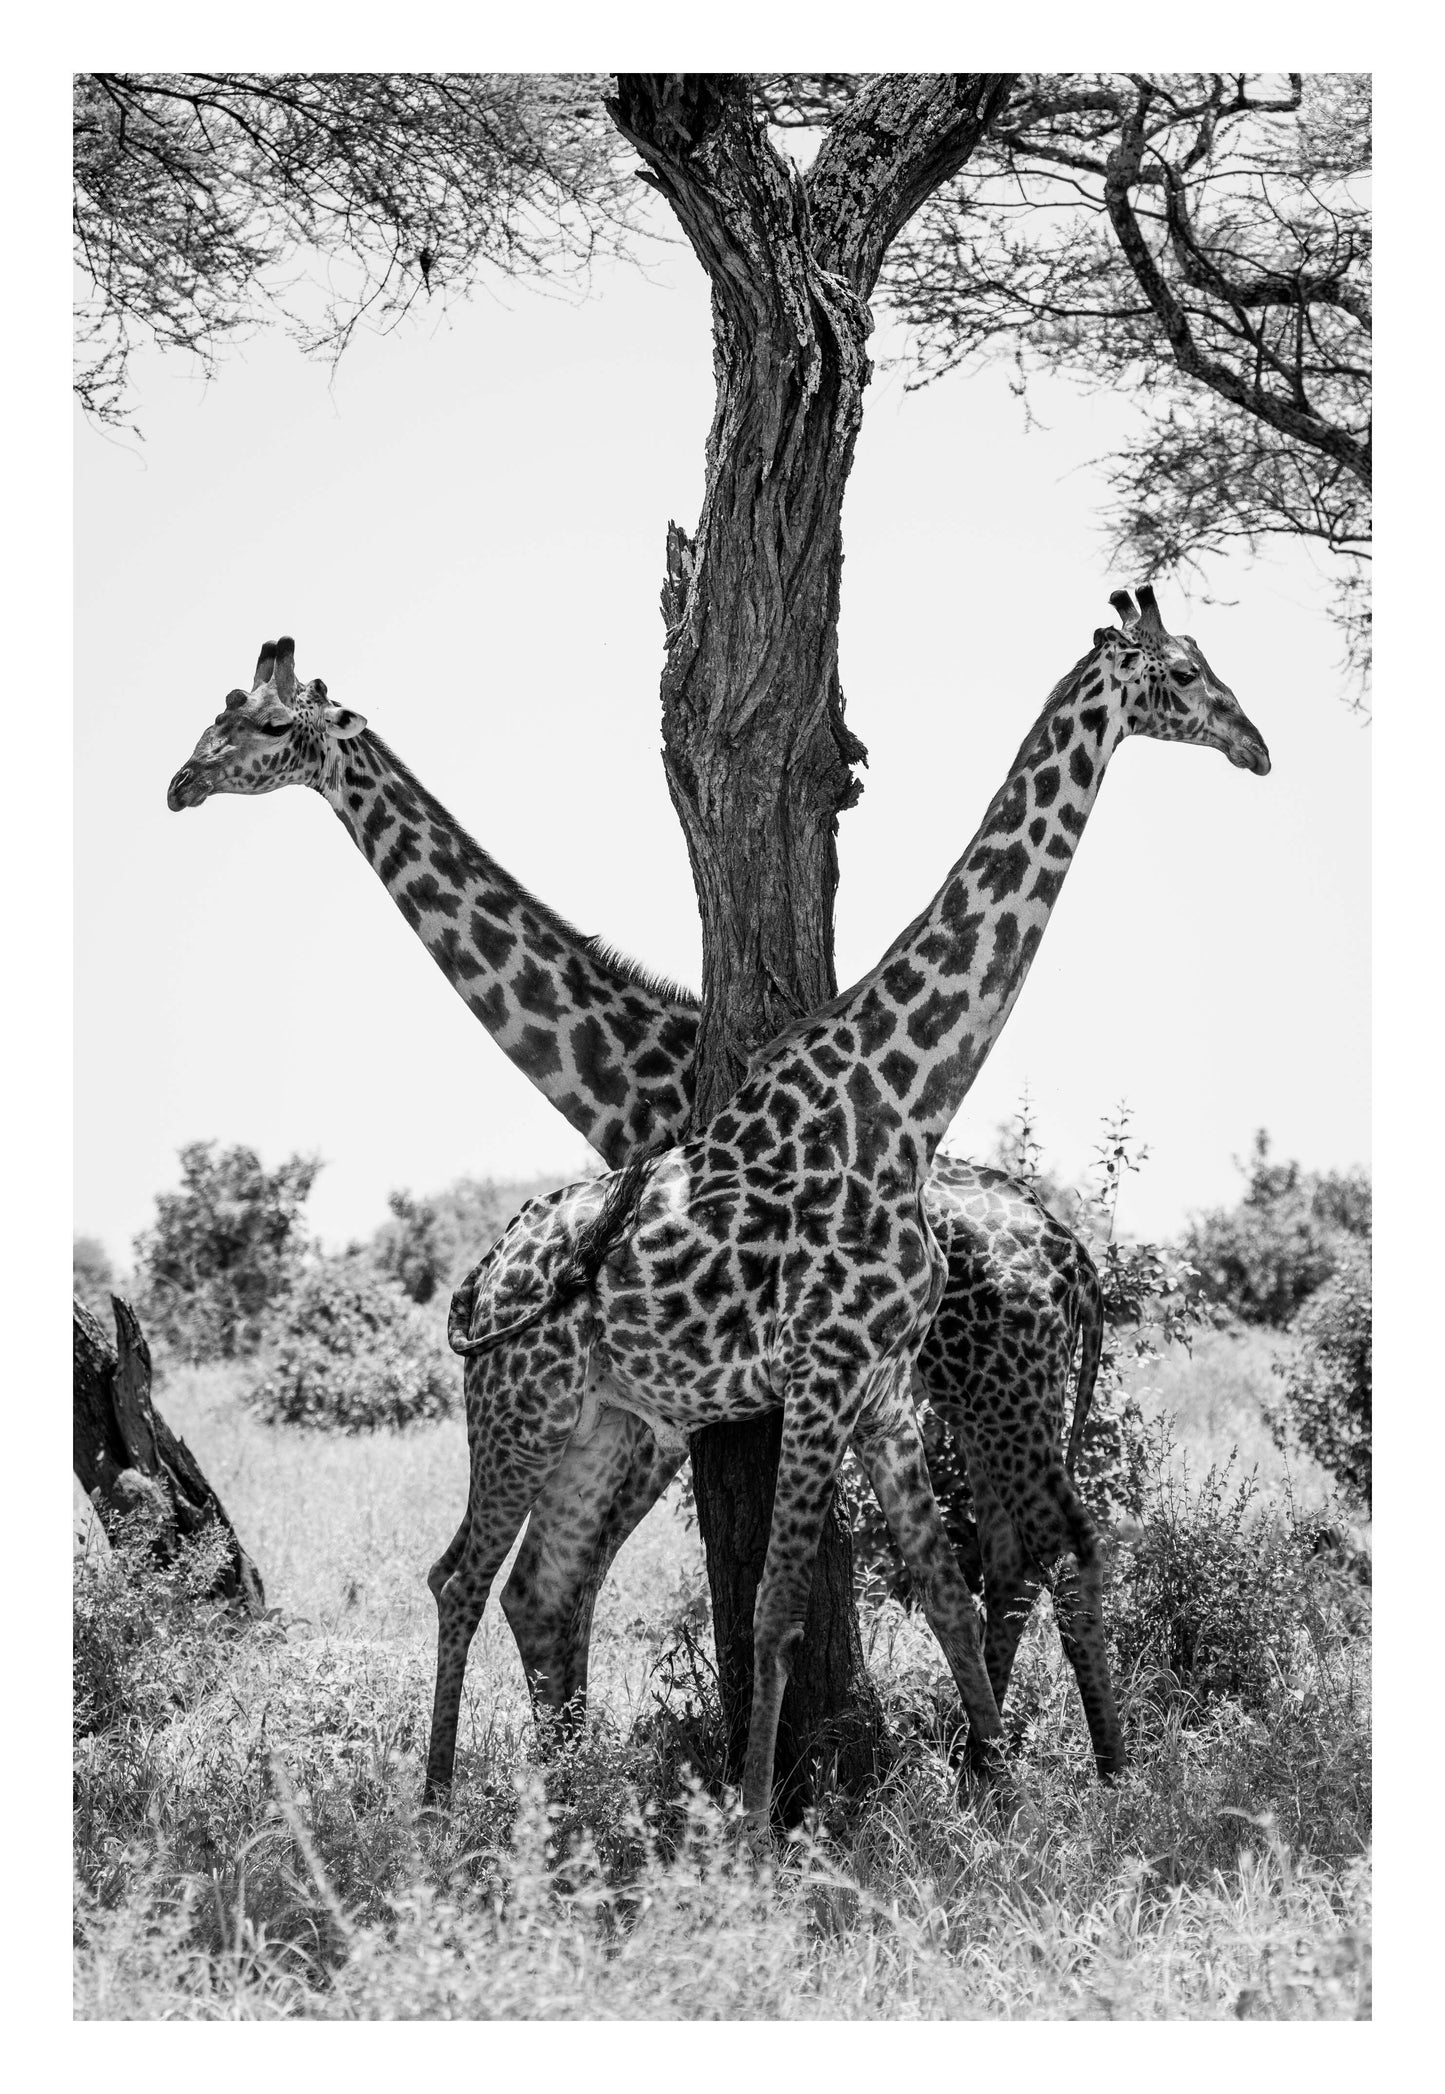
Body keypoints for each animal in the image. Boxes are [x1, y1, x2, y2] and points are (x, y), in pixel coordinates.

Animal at [167, 632, 1115, 1769]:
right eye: (216, 713)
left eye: (266, 726)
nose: (180, 784)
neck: (629, 1073)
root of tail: (1074, 1257)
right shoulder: (655, 1400)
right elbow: (561, 1590)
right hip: (998, 1394)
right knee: (1014, 1555)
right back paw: (1008, 1763)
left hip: (995, 1387)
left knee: (1038, 1548)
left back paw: (1062, 1765)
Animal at [424, 587, 1271, 1824]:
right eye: (1179, 674)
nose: (1256, 746)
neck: (894, 1109)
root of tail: (484, 1275)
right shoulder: (821, 1374)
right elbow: (776, 1603)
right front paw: (753, 1820)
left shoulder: (872, 1391)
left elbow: (940, 1588)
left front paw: (993, 1796)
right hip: (519, 1405)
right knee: (462, 1575)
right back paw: (440, 1806)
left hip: (603, 1418)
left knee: (536, 1583)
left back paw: (562, 1800)